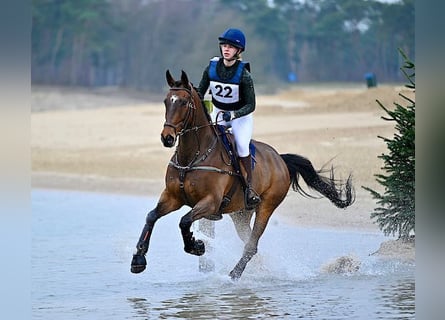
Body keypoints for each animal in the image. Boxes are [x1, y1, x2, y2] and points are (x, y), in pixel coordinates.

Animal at [129, 70, 354, 280]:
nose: (167, 138)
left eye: (183, 102)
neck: (192, 157)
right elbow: (151, 216)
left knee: (251, 244)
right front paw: (138, 259)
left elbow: (184, 221)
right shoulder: (173, 197)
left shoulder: (210, 202)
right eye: (167, 101)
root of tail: (280, 159)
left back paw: (234, 275)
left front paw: (196, 245)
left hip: (266, 206)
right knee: (248, 241)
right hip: (241, 213)